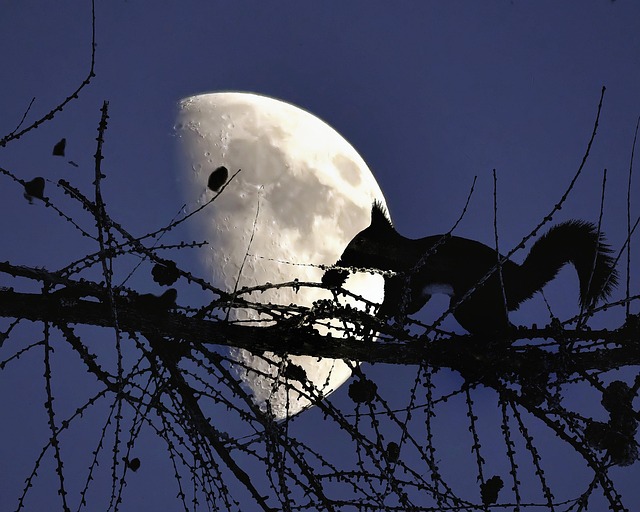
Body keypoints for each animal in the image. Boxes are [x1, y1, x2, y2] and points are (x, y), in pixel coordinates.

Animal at [323, 202, 618, 335]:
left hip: (473, 301)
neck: (398, 257)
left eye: (360, 241)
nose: (341, 260)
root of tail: (519, 279)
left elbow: (400, 303)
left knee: (502, 328)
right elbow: (409, 305)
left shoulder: (413, 277)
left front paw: (378, 316)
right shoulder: (406, 286)